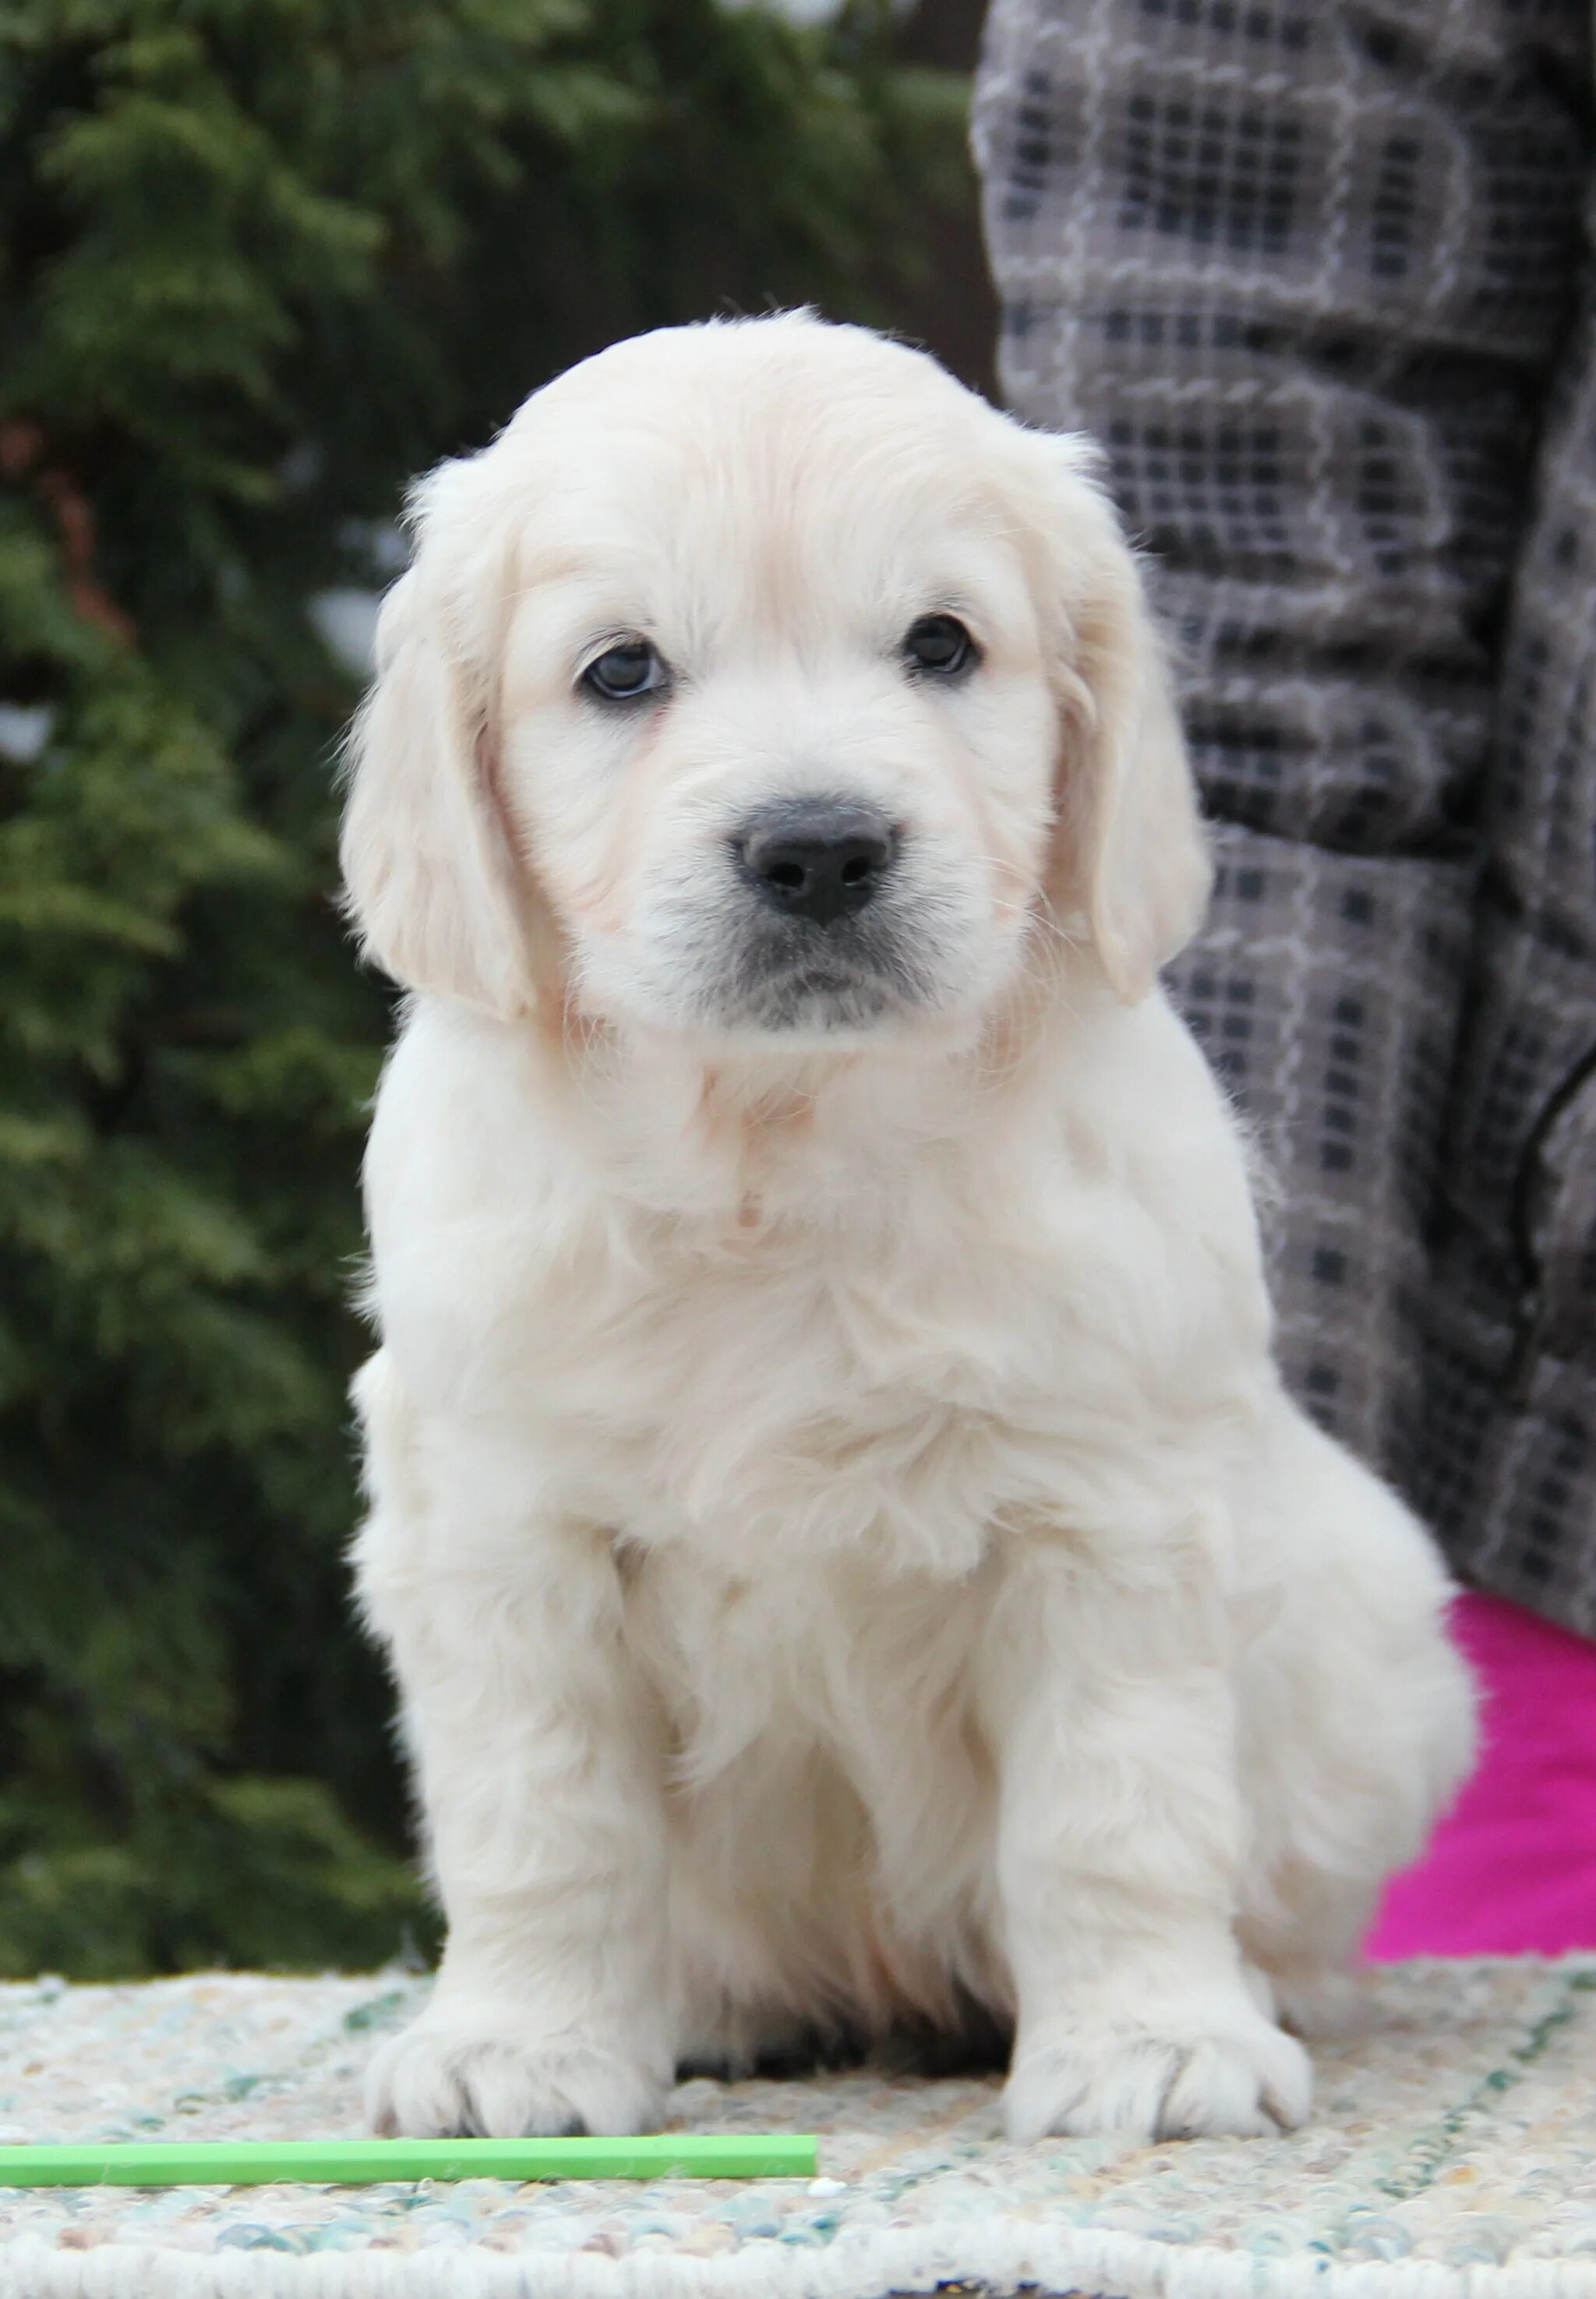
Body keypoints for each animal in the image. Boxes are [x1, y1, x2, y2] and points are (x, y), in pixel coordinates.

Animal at [337, 315, 1471, 2142]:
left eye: (942, 644)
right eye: (620, 673)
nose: (817, 847)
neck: (782, 1150)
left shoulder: (1107, 1509)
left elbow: (1114, 1805)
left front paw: (1151, 2043)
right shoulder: (502, 1522)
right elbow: (542, 1818)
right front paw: (518, 2042)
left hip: (1377, 1646)